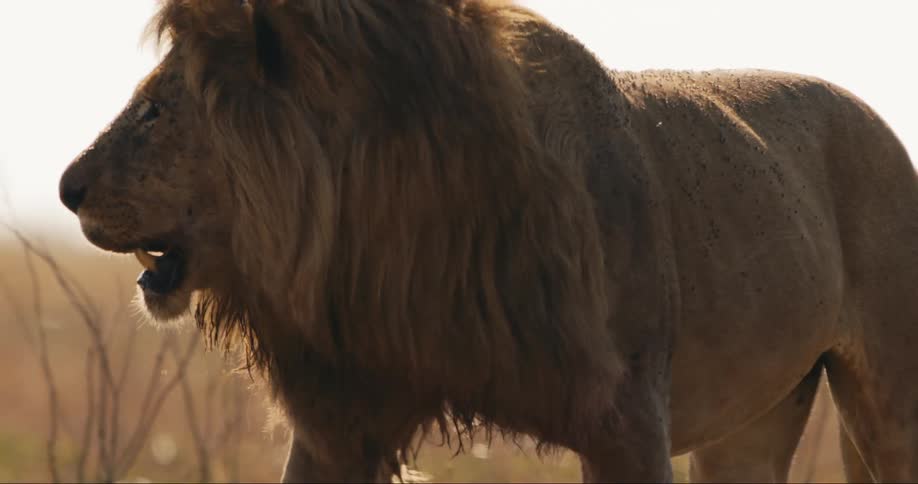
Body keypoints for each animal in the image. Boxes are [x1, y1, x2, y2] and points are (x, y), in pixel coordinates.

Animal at [58, 0, 915, 482]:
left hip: (889, 403)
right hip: (753, 422)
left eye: (155, 113)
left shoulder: (630, 417)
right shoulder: (345, 415)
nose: (66, 189)